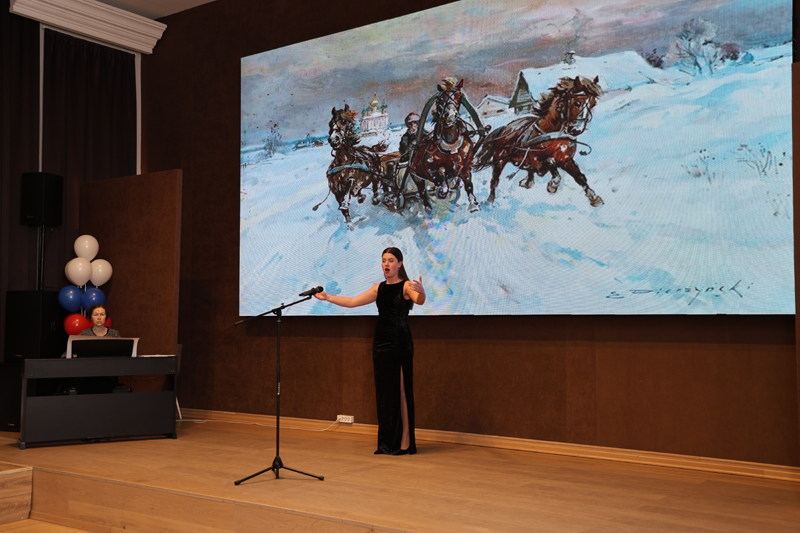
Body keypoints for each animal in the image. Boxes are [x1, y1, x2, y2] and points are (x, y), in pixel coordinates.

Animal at [404, 78, 484, 214]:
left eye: (459, 96)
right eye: (440, 99)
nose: (450, 115)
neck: (451, 144)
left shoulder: (466, 167)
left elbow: (468, 184)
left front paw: (474, 204)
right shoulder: (429, 168)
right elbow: (439, 174)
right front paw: (442, 189)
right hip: (415, 175)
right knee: (422, 191)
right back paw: (428, 207)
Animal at [474, 75, 603, 207]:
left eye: (593, 104)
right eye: (577, 103)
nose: (577, 129)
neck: (552, 134)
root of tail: (504, 128)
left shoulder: (566, 160)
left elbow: (580, 177)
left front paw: (594, 197)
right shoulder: (536, 161)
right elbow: (549, 163)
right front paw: (553, 185)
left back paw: (527, 181)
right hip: (500, 160)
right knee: (495, 180)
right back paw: (490, 200)